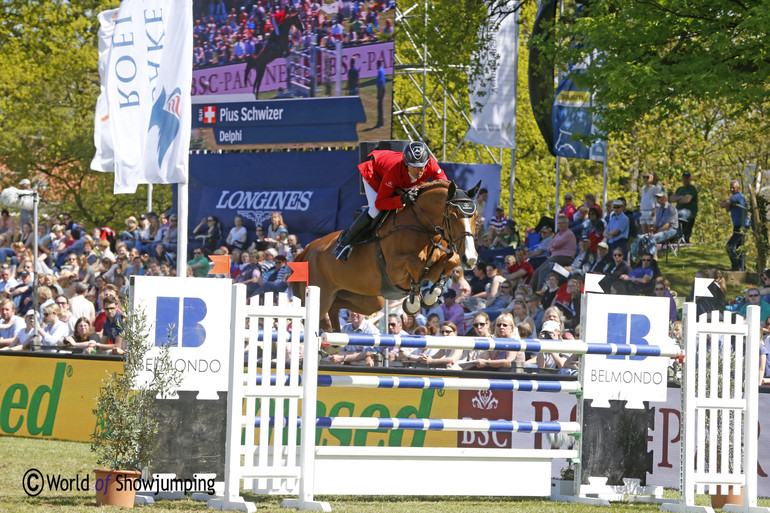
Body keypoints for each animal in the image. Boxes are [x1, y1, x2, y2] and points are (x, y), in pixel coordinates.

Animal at [292, 180, 480, 332]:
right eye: (452, 216)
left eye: (476, 216)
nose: (470, 259)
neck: (421, 227)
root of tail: (308, 249)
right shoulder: (396, 271)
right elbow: (416, 264)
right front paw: (414, 303)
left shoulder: (433, 269)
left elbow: (452, 260)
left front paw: (431, 294)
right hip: (322, 295)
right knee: (316, 316)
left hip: (369, 300)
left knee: (336, 306)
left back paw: (333, 340)